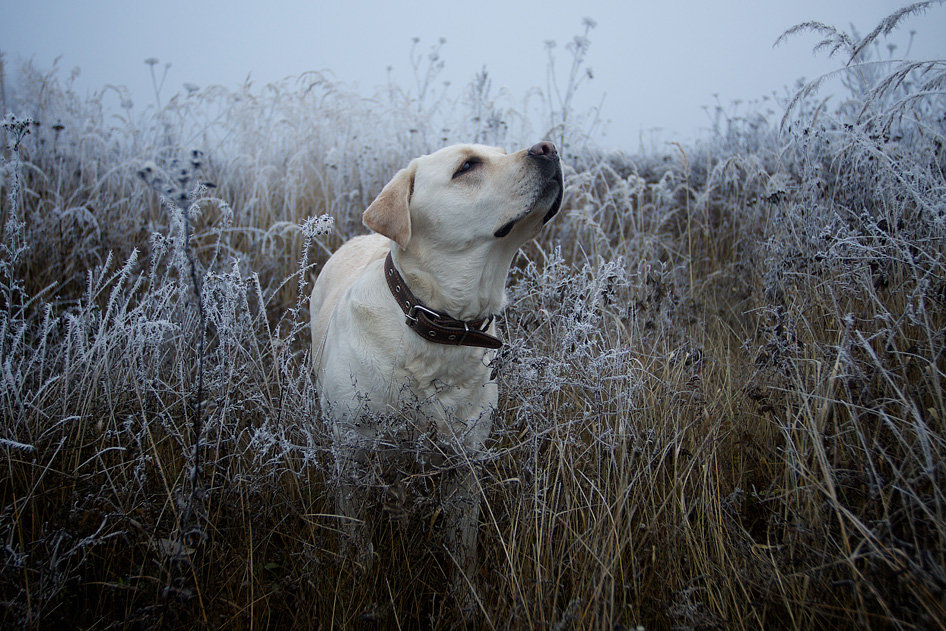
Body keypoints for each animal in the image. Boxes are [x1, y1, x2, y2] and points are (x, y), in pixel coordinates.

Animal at [308, 139, 560, 612]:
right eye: (467, 166)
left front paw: (465, 603)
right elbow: (358, 536)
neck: (437, 325)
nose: (549, 147)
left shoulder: (466, 460)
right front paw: (359, 585)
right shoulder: (352, 454)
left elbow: (462, 547)